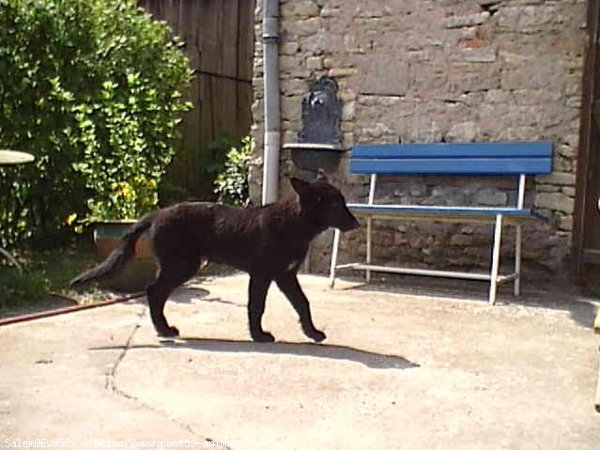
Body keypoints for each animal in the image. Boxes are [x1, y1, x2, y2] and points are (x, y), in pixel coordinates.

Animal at [72, 176, 358, 342]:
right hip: (182, 265)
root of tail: (158, 214)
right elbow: (257, 306)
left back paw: (163, 329)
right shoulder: (262, 274)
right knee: (154, 291)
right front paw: (258, 336)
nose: (355, 223)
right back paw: (164, 330)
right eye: (335, 205)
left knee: (157, 293)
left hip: (181, 265)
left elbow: (302, 303)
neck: (295, 223)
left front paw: (312, 332)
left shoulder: (285, 275)